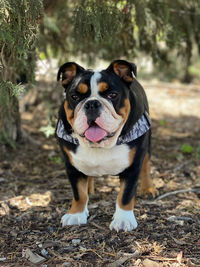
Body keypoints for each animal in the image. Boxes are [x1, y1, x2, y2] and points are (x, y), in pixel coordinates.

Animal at [55, 59, 155, 231]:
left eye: (112, 95)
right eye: (74, 96)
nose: (92, 104)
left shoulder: (133, 166)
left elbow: (126, 194)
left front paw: (123, 219)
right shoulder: (72, 166)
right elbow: (79, 193)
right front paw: (76, 214)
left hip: (147, 145)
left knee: (146, 164)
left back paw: (148, 188)